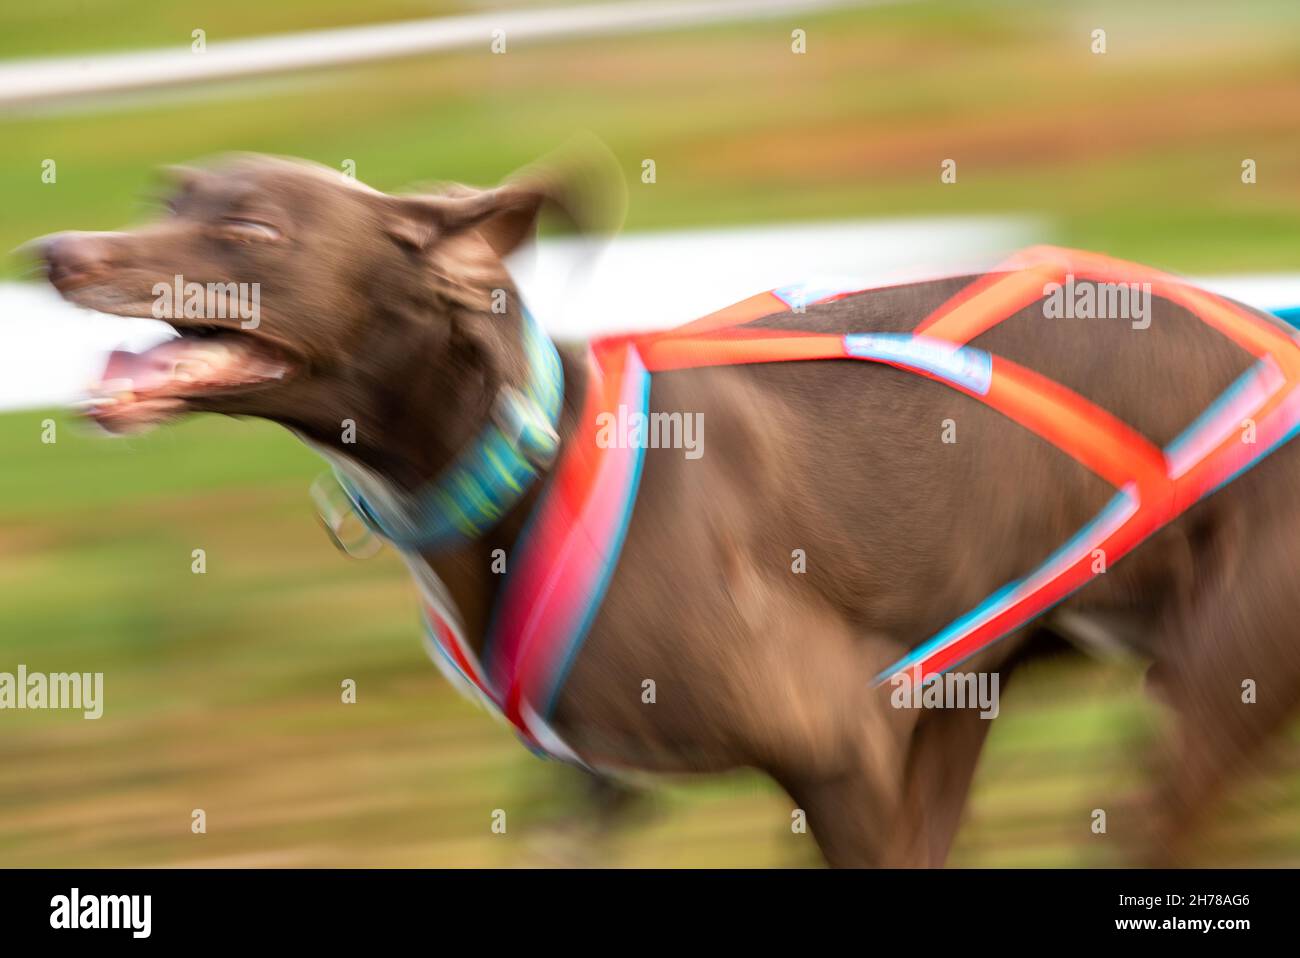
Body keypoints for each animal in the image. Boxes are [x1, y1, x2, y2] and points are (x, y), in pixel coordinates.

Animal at [35, 153, 1300, 863]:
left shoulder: (842, 758)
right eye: (169, 195)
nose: (54, 251)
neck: (527, 457)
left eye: (251, 229)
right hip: (974, 699)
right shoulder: (598, 796)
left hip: (1202, 697)